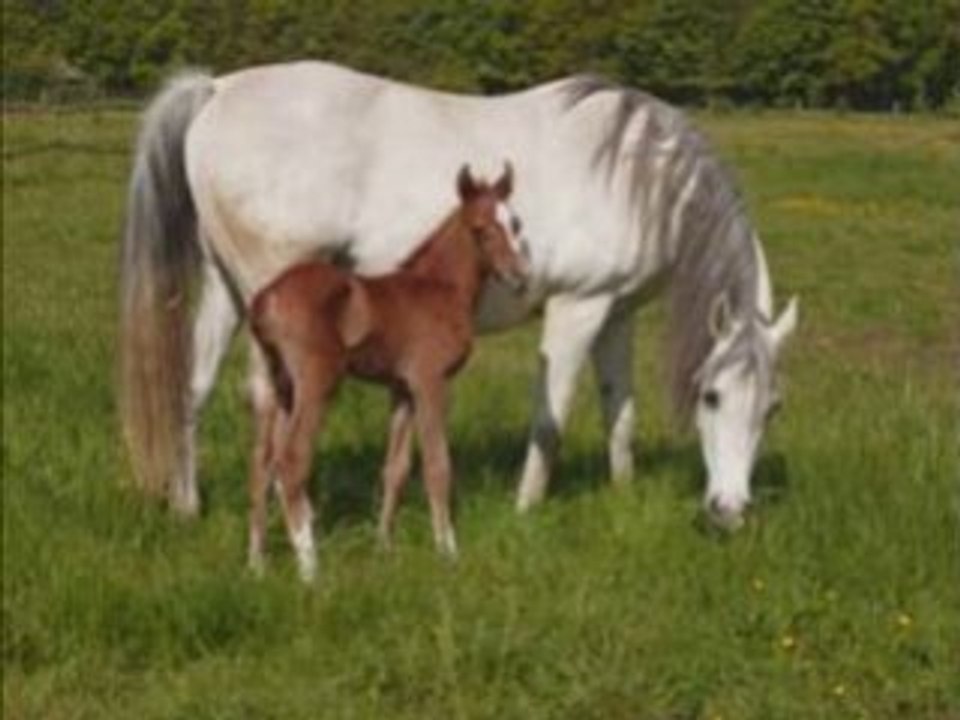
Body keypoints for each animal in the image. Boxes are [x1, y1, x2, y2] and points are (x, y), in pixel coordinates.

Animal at [120, 61, 798, 532]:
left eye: (771, 410)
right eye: (711, 396)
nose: (729, 511)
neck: (634, 175)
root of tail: (219, 89)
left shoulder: (617, 314)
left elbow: (619, 413)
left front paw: (624, 494)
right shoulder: (576, 310)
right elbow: (551, 418)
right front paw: (526, 509)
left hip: (229, 294)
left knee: (192, 391)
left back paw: (187, 506)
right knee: (268, 403)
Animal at [247, 164, 527, 581]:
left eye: (516, 223)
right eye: (479, 228)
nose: (519, 277)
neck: (441, 288)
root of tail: (268, 297)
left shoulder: (402, 389)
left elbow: (395, 468)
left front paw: (384, 549)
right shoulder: (430, 381)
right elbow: (437, 465)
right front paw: (448, 552)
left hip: (281, 387)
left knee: (263, 465)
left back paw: (256, 565)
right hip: (316, 383)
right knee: (292, 461)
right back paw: (311, 571)